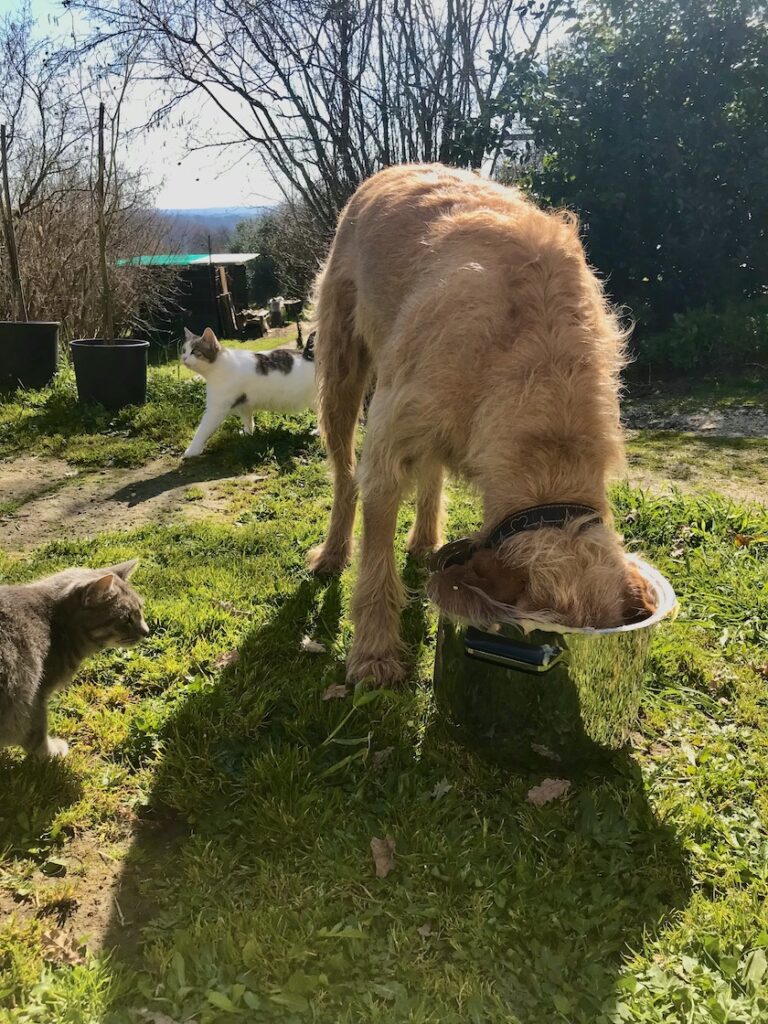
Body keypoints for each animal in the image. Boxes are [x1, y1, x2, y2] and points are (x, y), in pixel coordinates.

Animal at [0, 565, 148, 757]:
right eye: (127, 619)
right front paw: (51, 753)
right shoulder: (35, 698)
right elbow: (37, 734)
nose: (147, 631)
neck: (54, 624)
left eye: (141, 610)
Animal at [180, 325, 315, 458]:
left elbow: (202, 430)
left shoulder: (216, 409)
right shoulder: (244, 404)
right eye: (184, 350)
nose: (184, 358)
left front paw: (191, 450)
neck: (219, 366)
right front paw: (248, 433)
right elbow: (247, 420)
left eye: (194, 351)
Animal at [309, 163, 651, 684]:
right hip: (342, 366)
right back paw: (332, 552)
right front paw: (374, 653)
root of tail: (393, 169)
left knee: (430, 471)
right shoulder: (388, 442)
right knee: (345, 473)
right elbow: (376, 556)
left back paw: (425, 539)